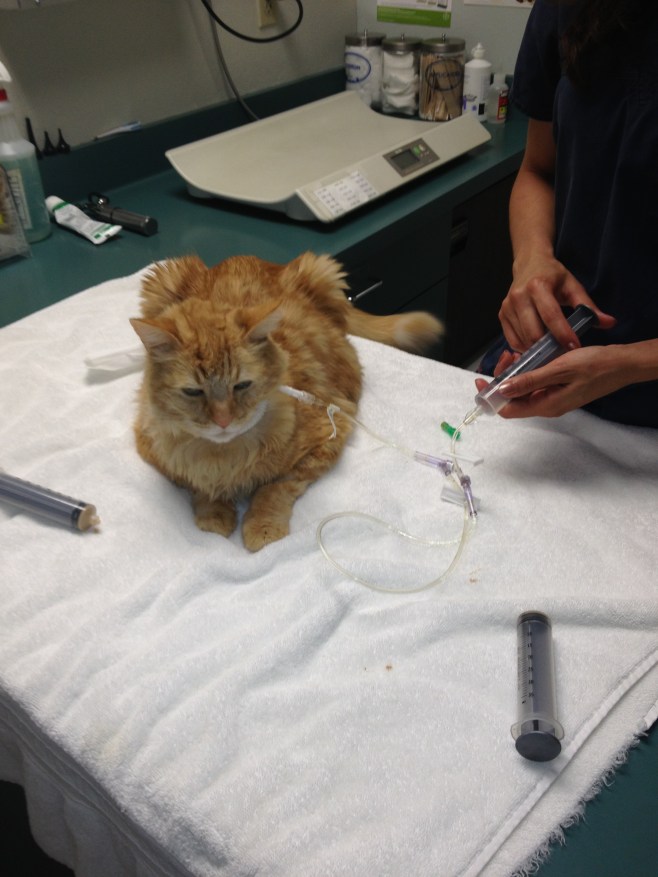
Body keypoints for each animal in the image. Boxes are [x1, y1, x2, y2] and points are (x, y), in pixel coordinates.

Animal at [130, 252, 443, 551]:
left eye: (241, 385)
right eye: (193, 392)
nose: (223, 421)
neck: (224, 457)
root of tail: (245, 258)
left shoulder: (329, 434)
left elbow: (274, 488)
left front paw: (262, 527)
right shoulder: (154, 449)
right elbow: (199, 487)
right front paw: (215, 515)